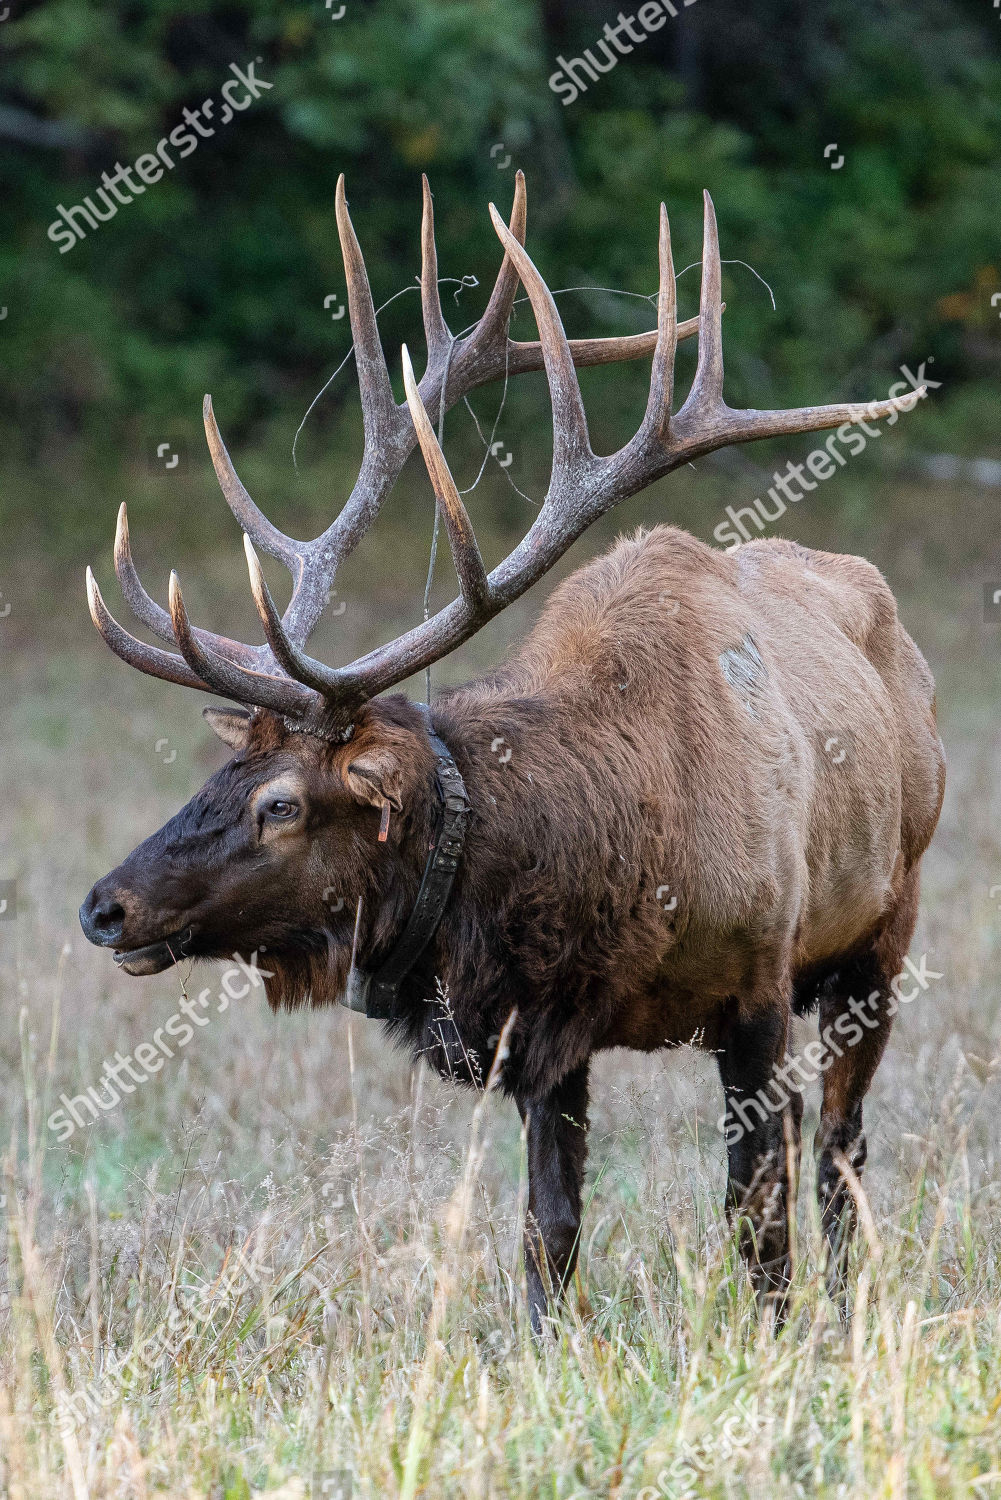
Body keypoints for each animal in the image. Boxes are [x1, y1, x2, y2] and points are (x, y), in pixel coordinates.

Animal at [79, 174, 945, 1328]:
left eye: (281, 804)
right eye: (219, 771)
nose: (105, 907)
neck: (619, 872)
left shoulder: (760, 983)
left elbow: (757, 1216)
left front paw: (777, 1339)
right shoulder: (542, 1034)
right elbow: (549, 1233)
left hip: (882, 928)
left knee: (841, 1150)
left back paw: (849, 1309)